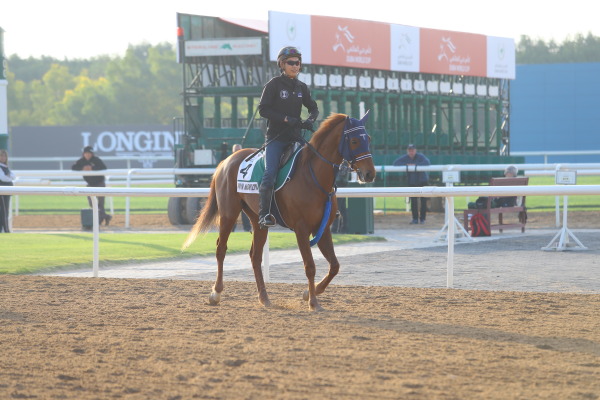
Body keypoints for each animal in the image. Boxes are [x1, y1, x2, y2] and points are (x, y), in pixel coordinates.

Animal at [182, 111, 376, 310]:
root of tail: (226, 160)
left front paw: (310, 293)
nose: (369, 174)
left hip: (258, 220)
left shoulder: (323, 228)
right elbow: (310, 266)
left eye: (368, 138)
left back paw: (264, 297)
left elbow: (335, 266)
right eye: (354, 140)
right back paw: (216, 292)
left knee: (255, 256)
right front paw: (313, 302)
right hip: (229, 213)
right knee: (221, 248)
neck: (314, 177)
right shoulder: (301, 229)